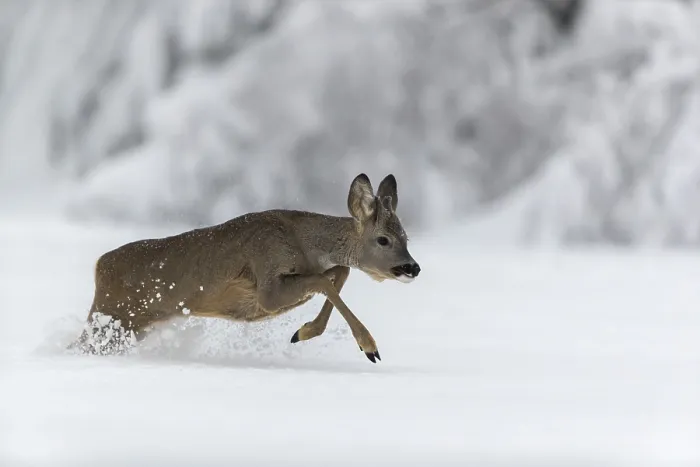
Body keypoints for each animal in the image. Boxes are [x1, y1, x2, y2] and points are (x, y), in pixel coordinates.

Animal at [75, 173, 420, 363]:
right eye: (384, 239)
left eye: (407, 237)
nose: (412, 267)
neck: (304, 242)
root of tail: (100, 266)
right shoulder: (266, 282)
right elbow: (325, 280)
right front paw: (369, 346)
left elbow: (338, 273)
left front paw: (304, 331)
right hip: (113, 316)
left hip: (130, 325)